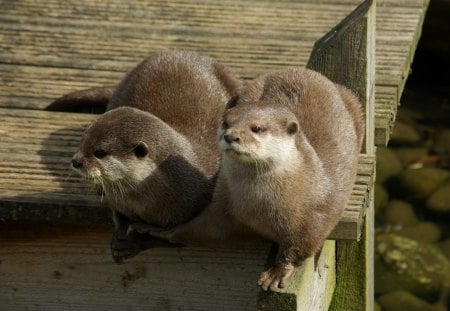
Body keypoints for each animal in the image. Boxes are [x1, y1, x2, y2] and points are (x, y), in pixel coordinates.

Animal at [49, 51, 243, 264]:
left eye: (99, 152)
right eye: (83, 140)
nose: (75, 161)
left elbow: (175, 239)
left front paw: (133, 244)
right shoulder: (118, 200)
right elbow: (118, 216)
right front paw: (119, 235)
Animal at [132, 67, 364, 292]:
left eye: (257, 128)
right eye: (226, 123)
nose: (231, 136)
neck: (258, 207)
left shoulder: (313, 213)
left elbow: (301, 244)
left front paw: (277, 272)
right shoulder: (222, 207)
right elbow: (198, 229)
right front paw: (160, 231)